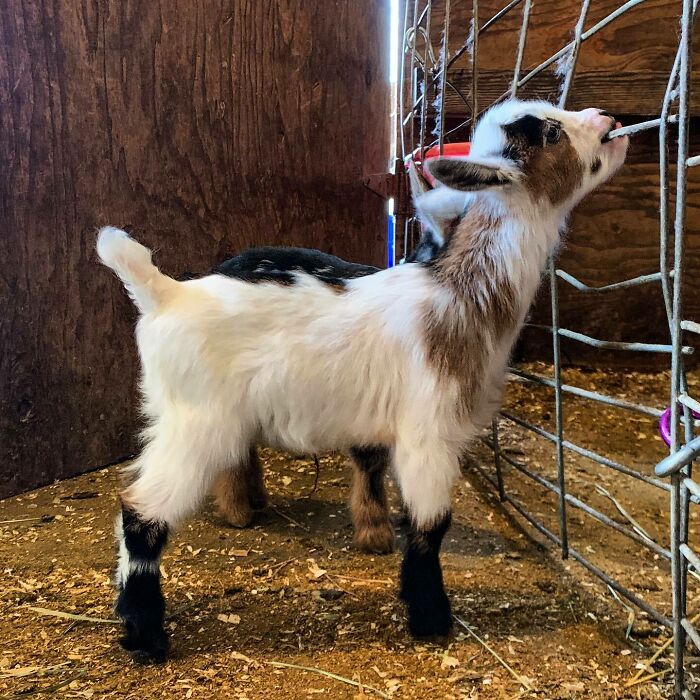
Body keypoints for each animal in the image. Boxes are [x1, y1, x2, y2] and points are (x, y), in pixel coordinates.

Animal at [97, 99, 627, 661]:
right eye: (550, 133)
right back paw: (146, 635)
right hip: (196, 423)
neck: (460, 297)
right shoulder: (426, 433)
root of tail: (166, 293)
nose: (609, 121)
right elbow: (431, 526)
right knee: (140, 513)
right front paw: (430, 617)